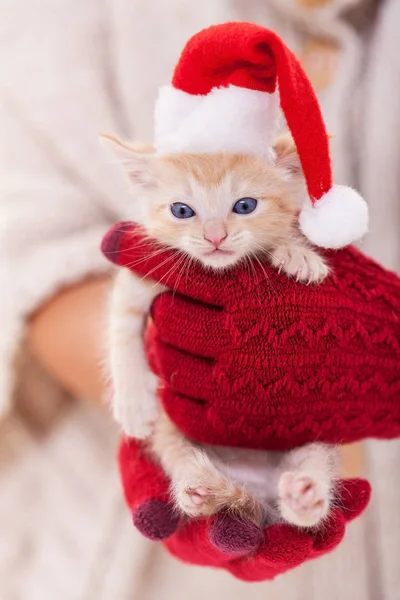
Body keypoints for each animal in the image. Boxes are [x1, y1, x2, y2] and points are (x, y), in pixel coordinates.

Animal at [102, 134, 338, 528]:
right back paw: (197, 488)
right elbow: (122, 326)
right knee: (180, 458)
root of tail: (255, 485)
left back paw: (305, 494)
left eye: (244, 205)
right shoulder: (143, 275)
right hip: (173, 430)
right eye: (182, 211)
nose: (215, 237)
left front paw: (296, 251)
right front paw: (133, 401)